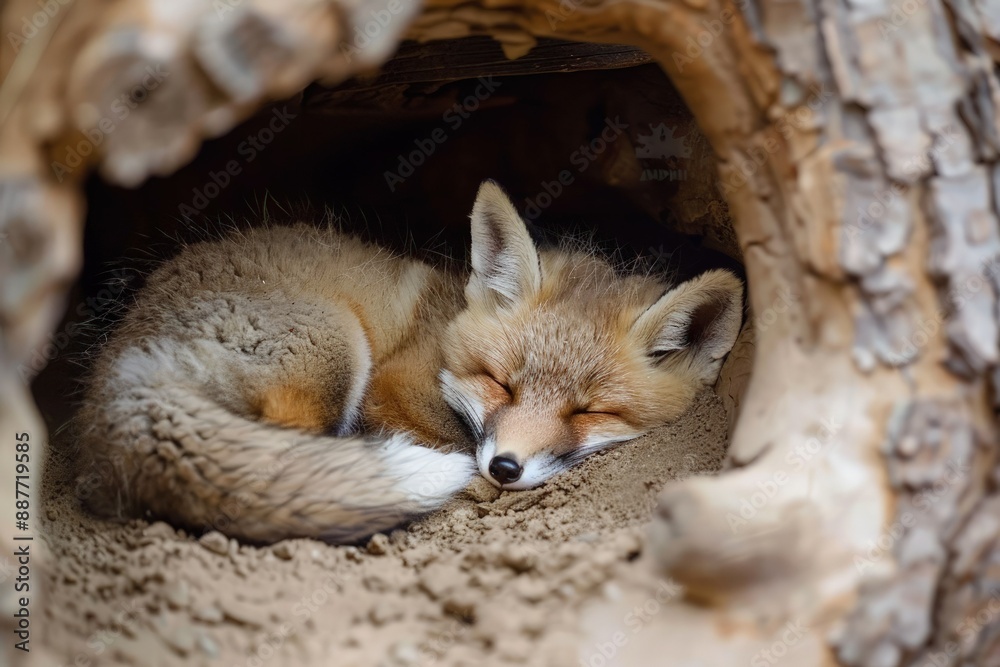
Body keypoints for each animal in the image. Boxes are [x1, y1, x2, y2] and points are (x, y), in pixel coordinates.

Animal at [74, 181, 744, 544]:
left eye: (589, 412)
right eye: (499, 384)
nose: (504, 467)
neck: (443, 325)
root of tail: (121, 358)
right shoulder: (391, 384)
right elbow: (441, 438)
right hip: (334, 349)